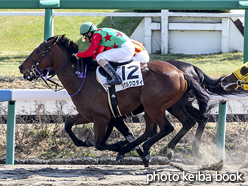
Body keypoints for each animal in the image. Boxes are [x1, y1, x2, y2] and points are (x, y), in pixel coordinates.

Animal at [18, 35, 211, 166]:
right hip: (169, 105)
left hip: (154, 105)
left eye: (37, 51)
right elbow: (68, 125)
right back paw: (168, 149)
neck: (81, 78)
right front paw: (84, 142)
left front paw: (121, 147)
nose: (21, 68)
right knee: (183, 122)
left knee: (166, 127)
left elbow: (99, 144)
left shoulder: (101, 117)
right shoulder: (91, 115)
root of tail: (182, 73)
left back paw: (150, 148)